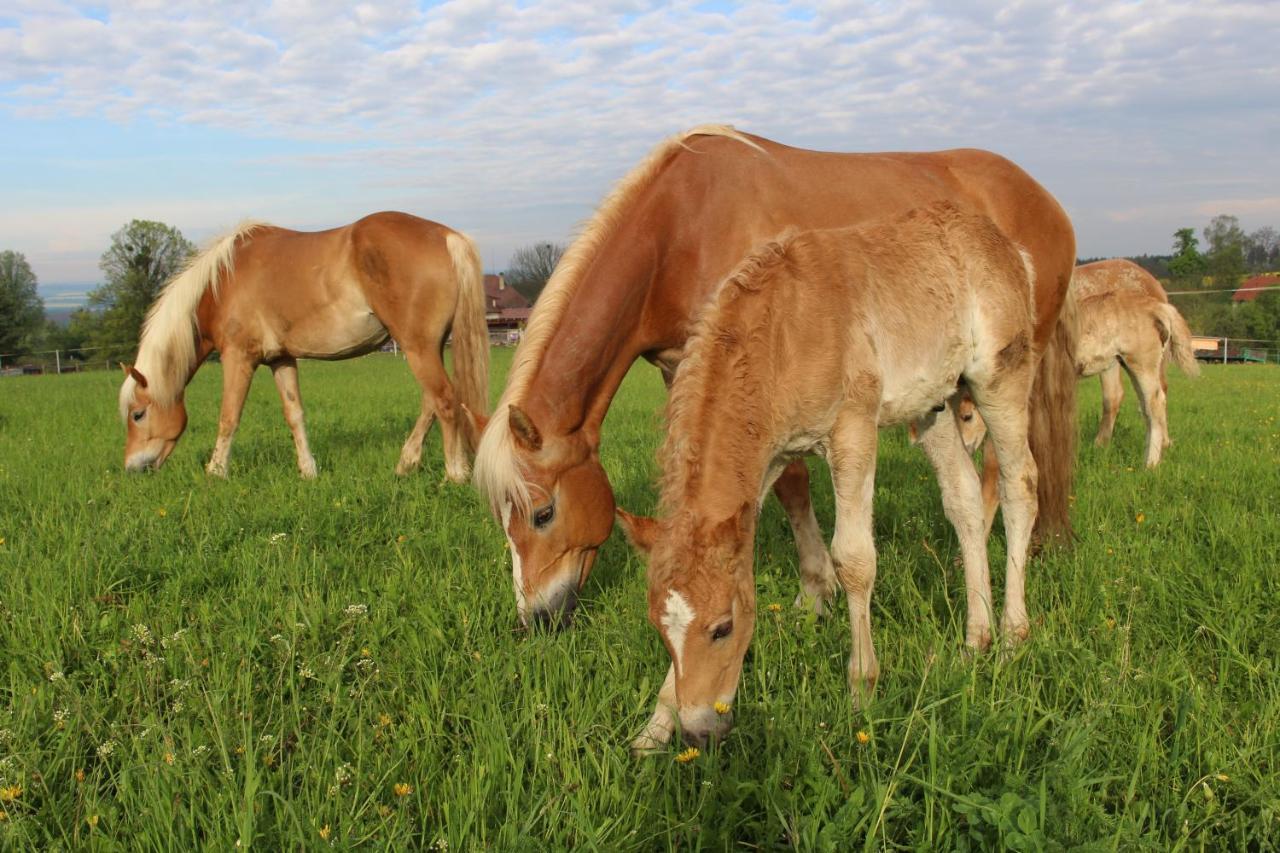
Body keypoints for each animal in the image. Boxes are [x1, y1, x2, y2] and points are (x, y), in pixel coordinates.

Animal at [119, 210, 488, 481]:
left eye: (138, 414)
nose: (132, 468)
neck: (221, 283)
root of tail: (447, 237)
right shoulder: (281, 359)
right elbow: (294, 414)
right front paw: (308, 471)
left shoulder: (238, 358)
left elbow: (229, 416)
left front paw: (216, 471)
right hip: (428, 347)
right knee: (433, 402)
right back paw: (406, 464)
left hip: (418, 348)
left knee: (445, 401)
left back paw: (454, 474)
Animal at [476, 128, 1075, 630]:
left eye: (543, 513)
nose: (534, 621)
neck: (681, 229)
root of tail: (1047, 202)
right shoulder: (685, 372)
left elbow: (792, 485)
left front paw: (815, 593)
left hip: (1008, 372)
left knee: (1005, 470)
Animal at [614, 202, 1044, 747]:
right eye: (659, 630)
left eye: (723, 628)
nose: (700, 732)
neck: (784, 333)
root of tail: (1010, 248)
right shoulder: (767, 463)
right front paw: (655, 727)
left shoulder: (853, 430)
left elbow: (854, 560)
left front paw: (862, 692)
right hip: (934, 404)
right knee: (964, 501)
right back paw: (974, 641)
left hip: (999, 378)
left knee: (1019, 486)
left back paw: (1011, 638)